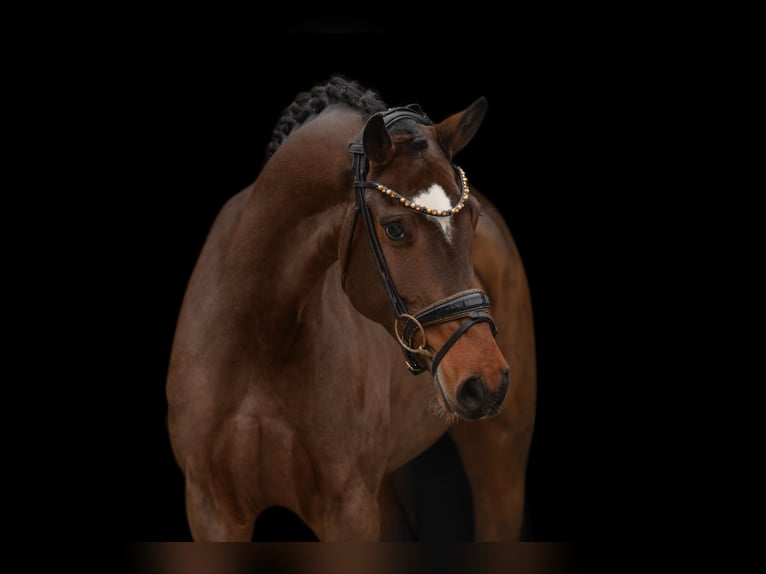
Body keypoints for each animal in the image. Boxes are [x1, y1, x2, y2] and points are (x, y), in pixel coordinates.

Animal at [166, 75, 536, 541]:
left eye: (471, 218)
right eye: (395, 229)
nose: (485, 379)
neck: (259, 336)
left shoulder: (348, 511)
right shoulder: (211, 509)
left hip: (500, 460)